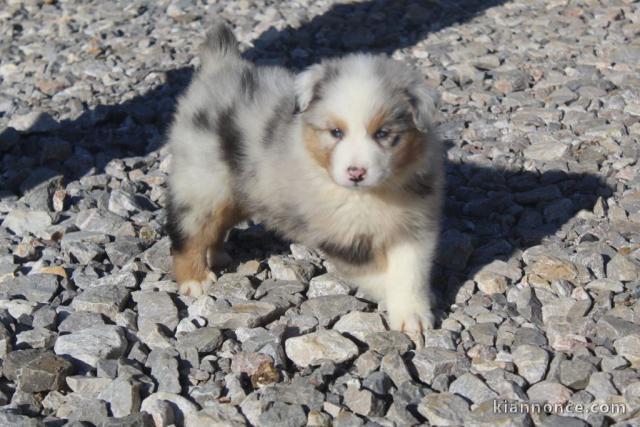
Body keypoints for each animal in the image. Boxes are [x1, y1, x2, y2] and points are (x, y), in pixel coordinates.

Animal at [168, 24, 442, 334]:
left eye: (382, 133)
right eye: (336, 132)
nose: (356, 172)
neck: (371, 194)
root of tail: (222, 66)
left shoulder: (415, 226)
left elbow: (411, 273)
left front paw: (414, 313)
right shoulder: (341, 236)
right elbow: (376, 274)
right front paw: (397, 301)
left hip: (242, 190)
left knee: (218, 225)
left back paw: (217, 256)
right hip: (201, 184)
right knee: (188, 233)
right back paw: (195, 280)